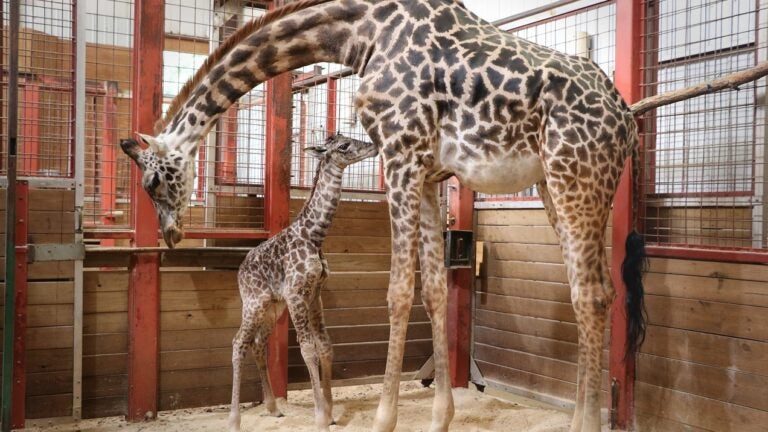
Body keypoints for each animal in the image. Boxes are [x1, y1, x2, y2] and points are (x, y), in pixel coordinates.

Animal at [231, 134, 380, 432]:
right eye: (344, 146)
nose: (373, 146)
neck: (314, 236)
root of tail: (241, 269)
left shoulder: (314, 294)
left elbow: (325, 345)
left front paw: (331, 412)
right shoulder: (297, 294)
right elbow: (308, 348)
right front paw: (320, 416)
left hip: (273, 307)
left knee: (257, 343)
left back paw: (273, 408)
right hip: (254, 303)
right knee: (238, 342)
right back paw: (233, 421)